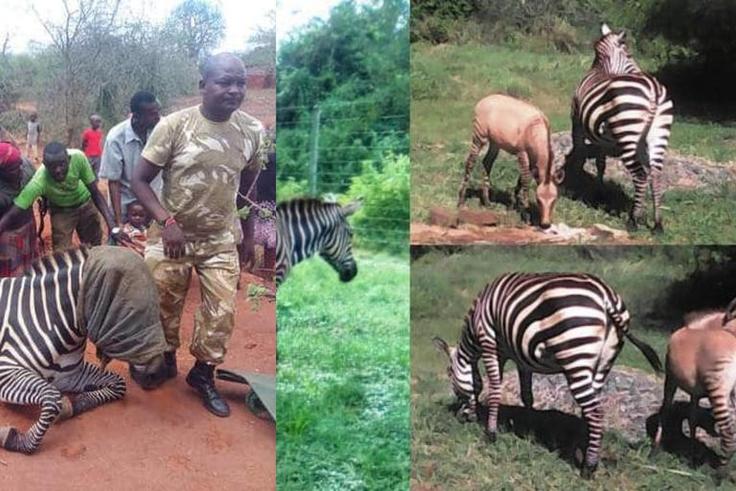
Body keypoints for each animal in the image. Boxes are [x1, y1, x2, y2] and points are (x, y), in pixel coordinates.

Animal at [0, 246, 168, 454]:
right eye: (130, 311)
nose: (158, 374)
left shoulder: (70, 375)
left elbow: (119, 384)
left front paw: (73, 404)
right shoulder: (5, 369)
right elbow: (52, 398)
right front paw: (11, 438)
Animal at [434, 272, 662, 478]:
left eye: (450, 376)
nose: (462, 416)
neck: (475, 327)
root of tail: (606, 296)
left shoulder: (490, 343)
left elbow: (495, 387)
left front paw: (490, 434)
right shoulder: (520, 357)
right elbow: (527, 395)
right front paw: (528, 430)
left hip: (575, 355)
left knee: (595, 412)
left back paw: (588, 468)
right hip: (603, 363)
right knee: (590, 410)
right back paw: (581, 448)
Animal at [567, 24, 674, 232]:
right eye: (630, 55)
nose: (639, 71)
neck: (601, 68)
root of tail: (654, 89)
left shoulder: (578, 125)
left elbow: (580, 155)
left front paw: (576, 187)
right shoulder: (602, 139)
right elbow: (601, 164)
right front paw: (598, 192)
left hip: (628, 132)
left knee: (640, 175)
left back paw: (633, 220)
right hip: (658, 134)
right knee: (656, 174)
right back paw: (657, 224)